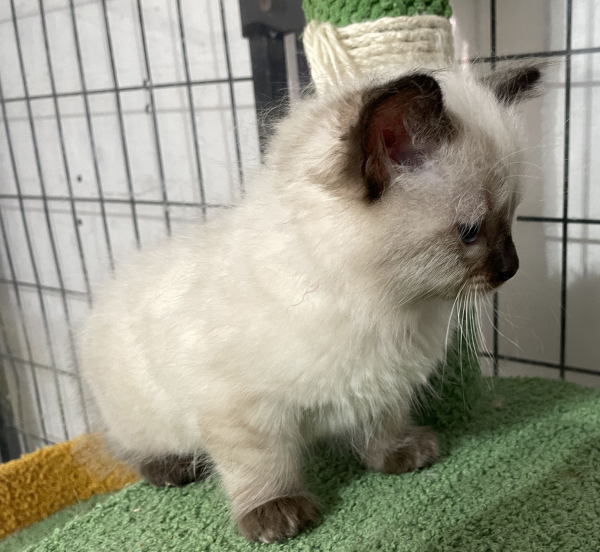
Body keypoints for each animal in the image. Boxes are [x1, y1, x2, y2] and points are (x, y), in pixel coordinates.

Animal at [79, 64, 544, 544]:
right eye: (470, 233)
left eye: (511, 218)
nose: (512, 268)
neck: (385, 308)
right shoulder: (243, 413)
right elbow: (261, 467)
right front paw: (276, 515)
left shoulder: (386, 388)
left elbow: (384, 429)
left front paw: (404, 456)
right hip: (142, 415)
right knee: (132, 449)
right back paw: (170, 469)